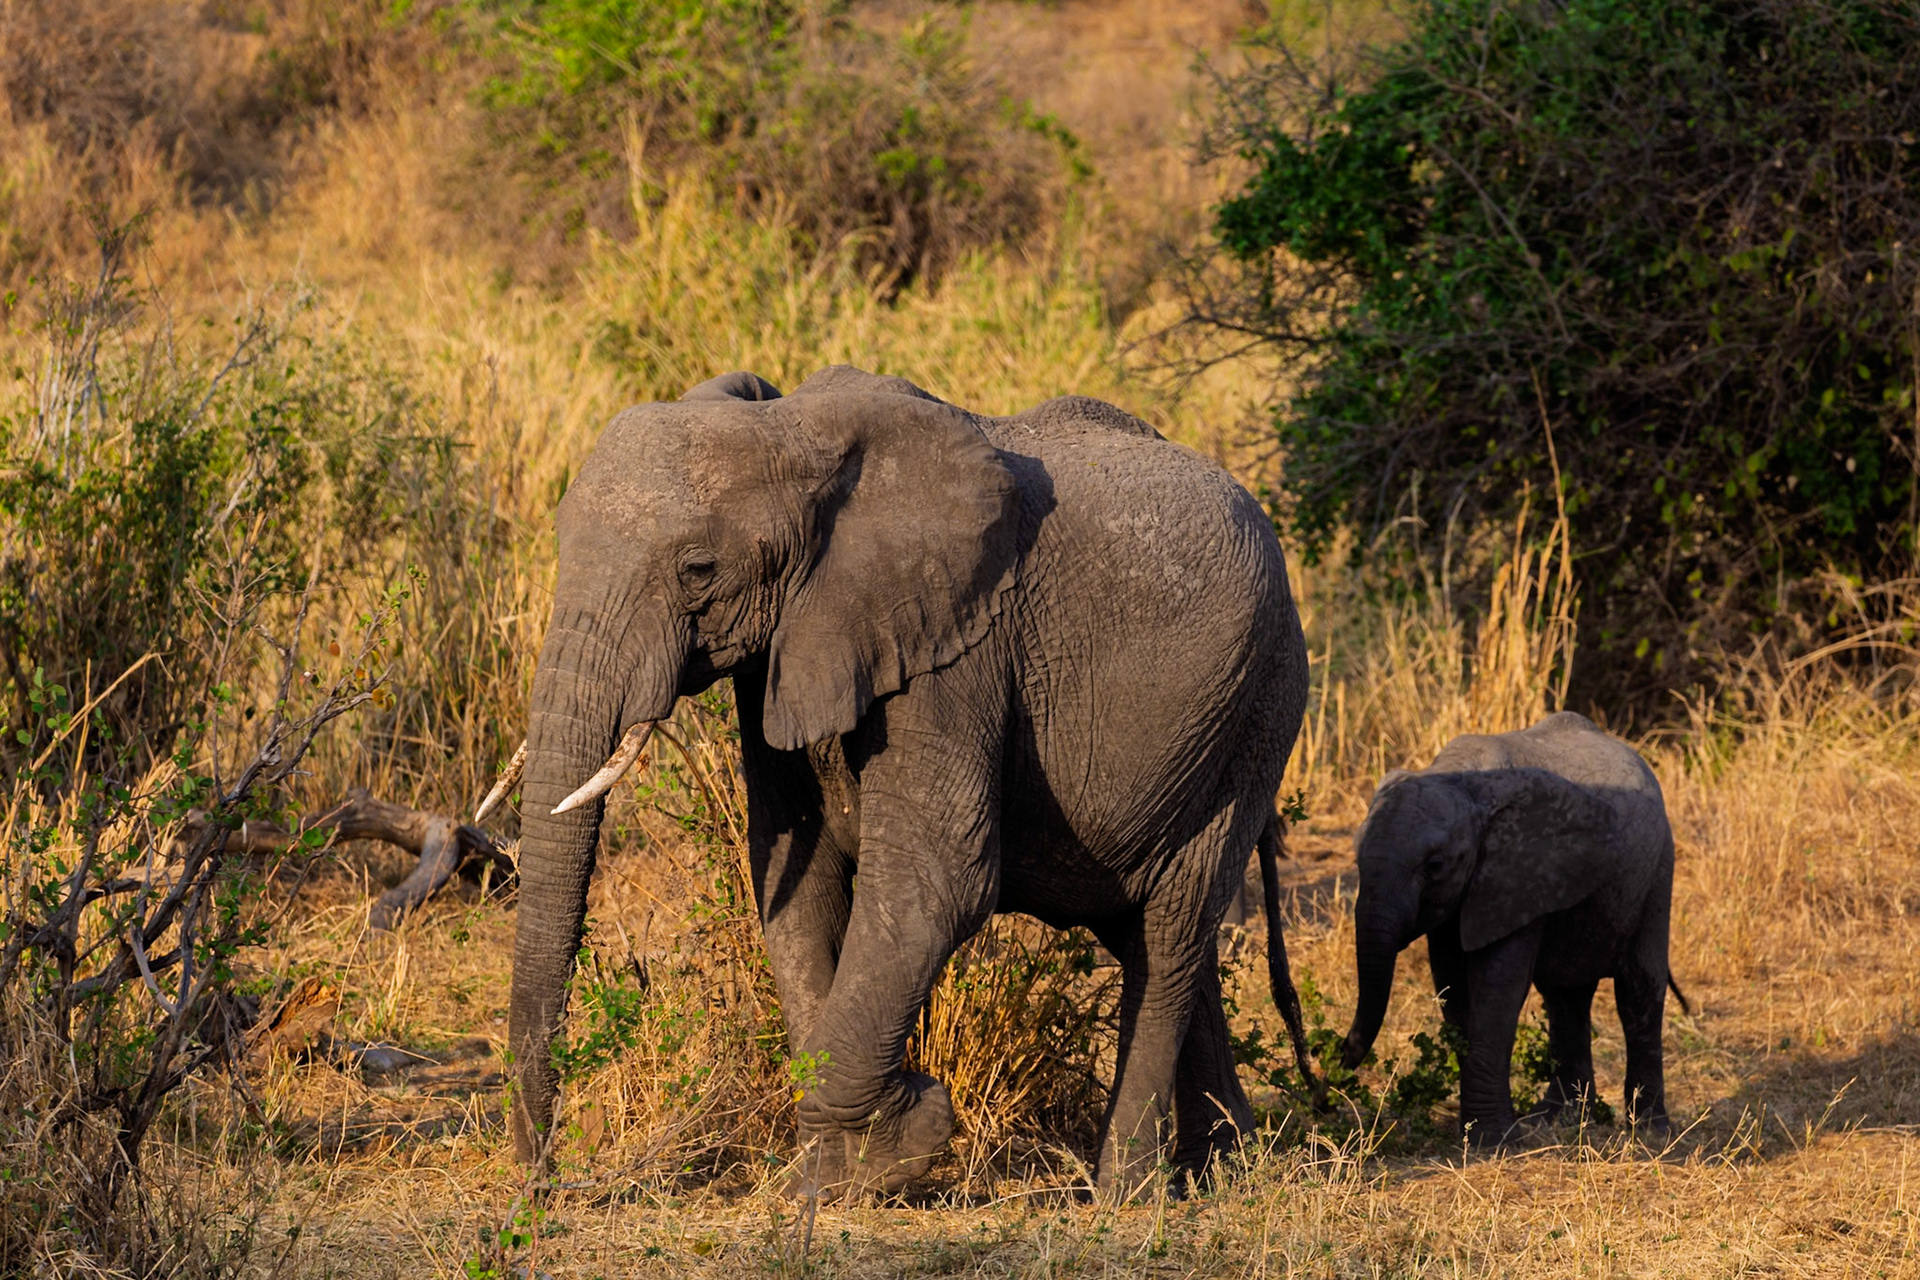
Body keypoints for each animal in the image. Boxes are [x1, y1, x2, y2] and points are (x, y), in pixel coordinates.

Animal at [486, 365, 1318, 1197]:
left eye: (698, 571)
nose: (545, 1176)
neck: (794, 433)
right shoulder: (788, 651)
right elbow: (795, 879)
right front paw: (839, 1168)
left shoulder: (958, 652)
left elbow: (933, 883)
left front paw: (881, 1157)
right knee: (1157, 935)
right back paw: (1227, 1167)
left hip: (1258, 711)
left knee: (1172, 931)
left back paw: (1125, 1192)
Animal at [1337, 711, 1681, 1145]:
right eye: (1356, 858)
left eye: (1435, 866)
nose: (1326, 1068)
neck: (1461, 780)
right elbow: (1452, 986)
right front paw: (1488, 1131)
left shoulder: (1518, 873)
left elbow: (1497, 987)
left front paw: (1492, 1139)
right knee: (1565, 997)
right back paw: (1556, 1119)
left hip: (1657, 871)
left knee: (1638, 990)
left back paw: (1651, 1132)